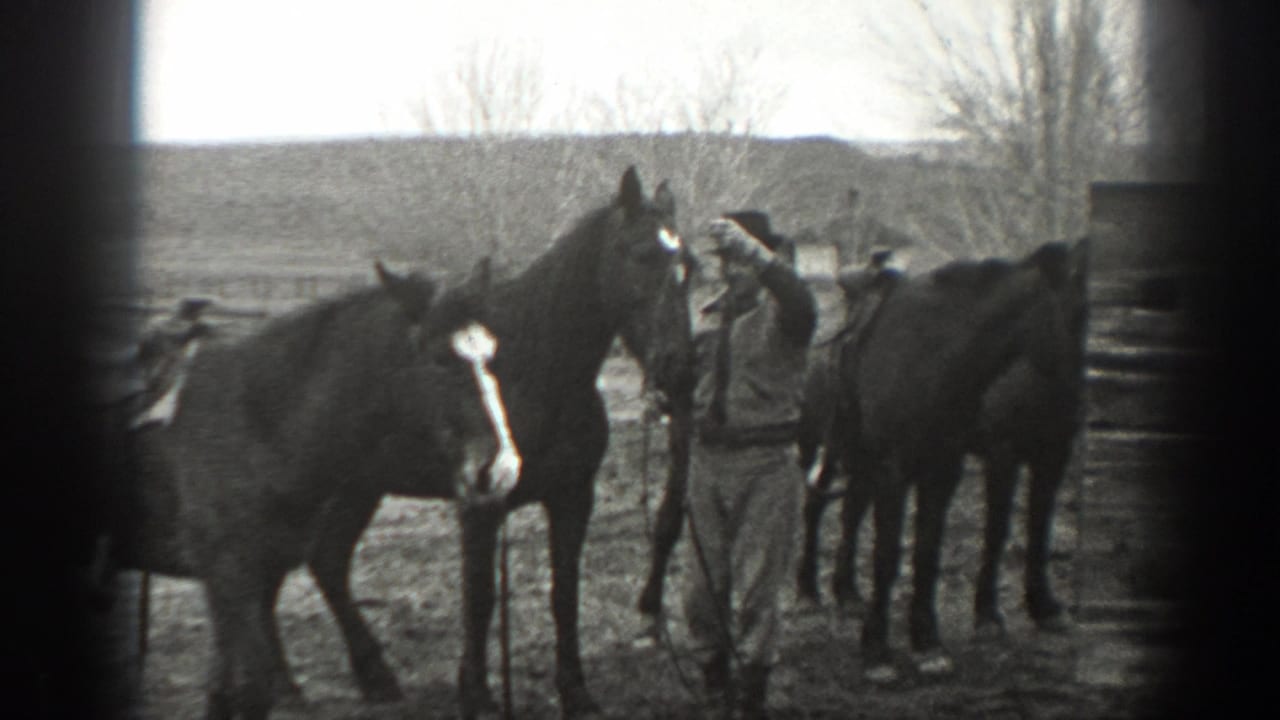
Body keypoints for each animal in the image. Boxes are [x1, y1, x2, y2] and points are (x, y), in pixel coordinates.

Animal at [100, 262, 515, 720]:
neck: (257, 425)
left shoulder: (252, 577)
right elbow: (250, 687)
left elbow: (229, 691)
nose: (500, 468)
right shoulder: (229, 573)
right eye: (441, 359)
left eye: (490, 354)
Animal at [282, 167, 693, 719]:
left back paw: (367, 678)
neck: (533, 372)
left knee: (326, 560)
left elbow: (565, 594)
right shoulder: (481, 506)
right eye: (641, 253)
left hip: (360, 487)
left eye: (688, 265)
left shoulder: (572, 497)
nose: (679, 368)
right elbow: (480, 599)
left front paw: (576, 692)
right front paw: (475, 694)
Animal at [815, 241, 1084, 683]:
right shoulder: (903, 471)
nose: (1071, 396)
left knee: (851, 510)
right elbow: (888, 556)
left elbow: (929, 552)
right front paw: (877, 652)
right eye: (1066, 313)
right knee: (815, 507)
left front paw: (928, 644)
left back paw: (847, 593)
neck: (931, 358)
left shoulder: (945, 470)